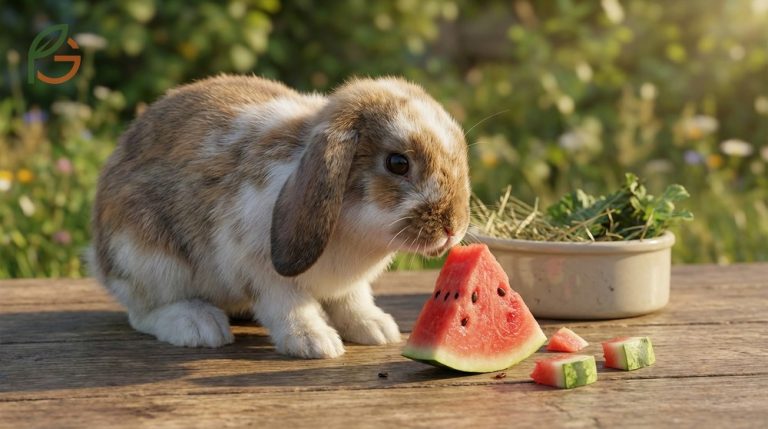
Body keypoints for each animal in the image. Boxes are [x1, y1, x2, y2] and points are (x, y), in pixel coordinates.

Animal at [89, 74, 470, 358]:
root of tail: (97, 255)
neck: (352, 231)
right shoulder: (259, 268)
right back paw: (198, 325)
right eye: (397, 163)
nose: (453, 227)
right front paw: (315, 342)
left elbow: (353, 301)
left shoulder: (349, 287)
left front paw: (376, 329)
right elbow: (289, 306)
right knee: (143, 312)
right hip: (146, 257)